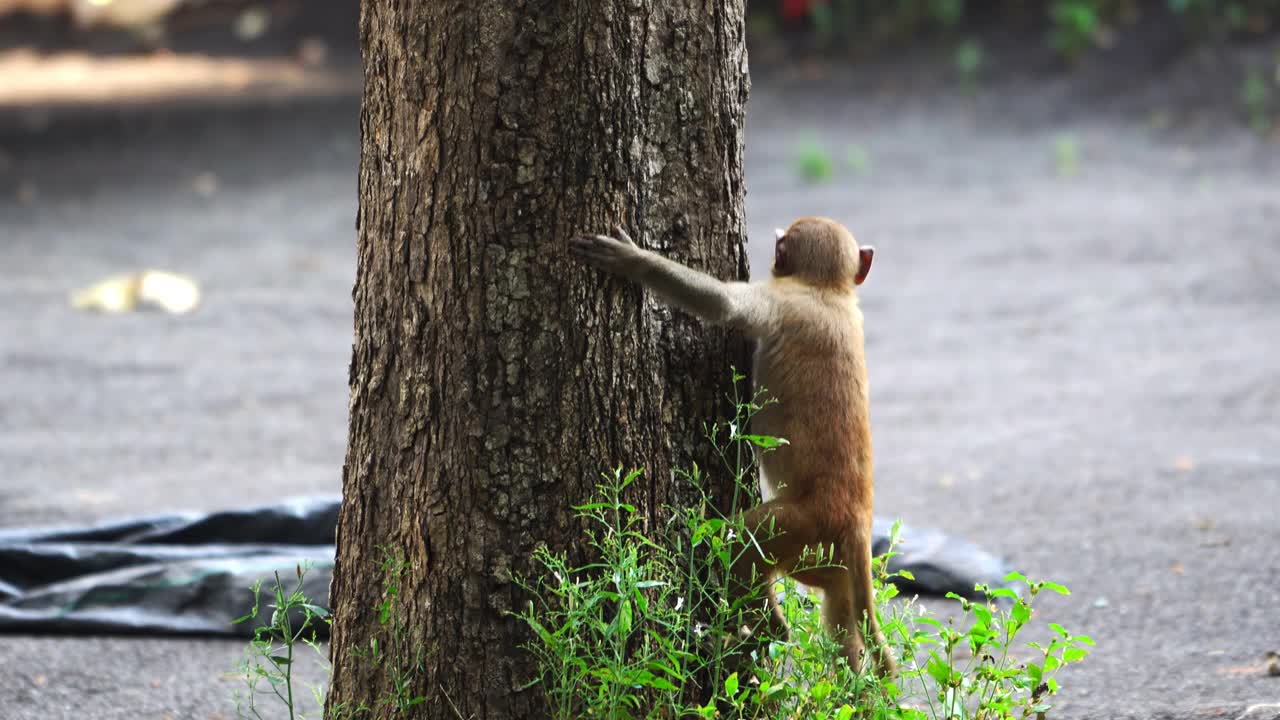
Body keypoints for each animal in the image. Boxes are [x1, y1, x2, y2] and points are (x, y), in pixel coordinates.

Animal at [576, 215, 896, 676]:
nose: (775, 256)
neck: (829, 292)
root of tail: (856, 517)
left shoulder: (779, 301)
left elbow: (725, 306)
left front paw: (632, 260)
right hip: (822, 551)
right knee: (841, 612)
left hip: (798, 524)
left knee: (737, 546)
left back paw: (767, 634)